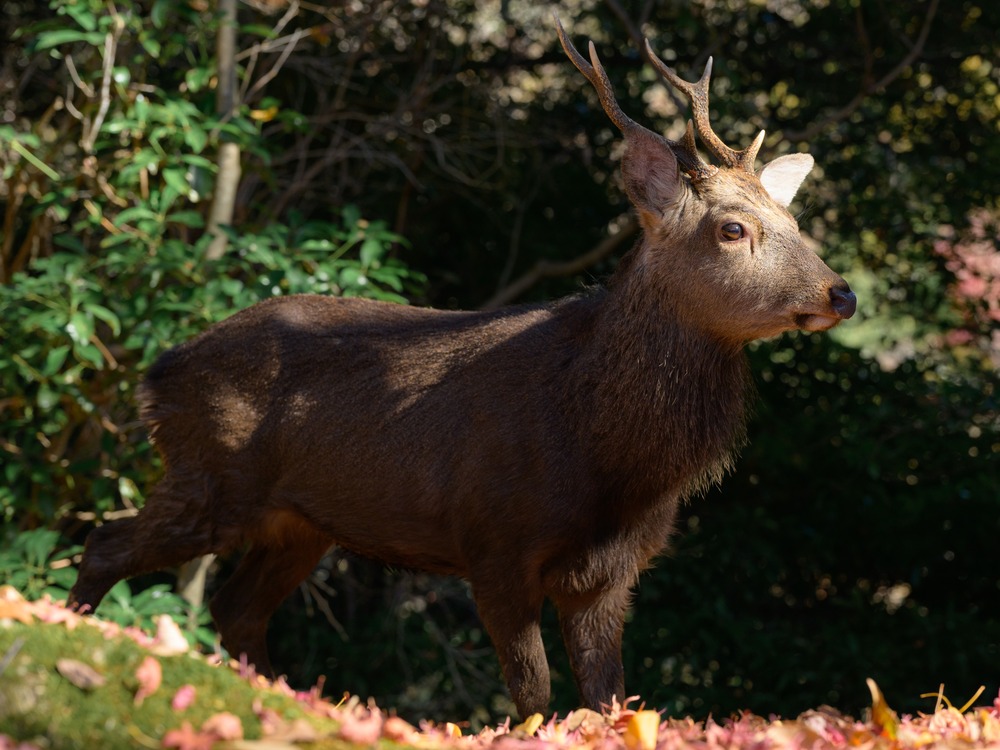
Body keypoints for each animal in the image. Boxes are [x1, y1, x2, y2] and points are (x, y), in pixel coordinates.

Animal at [68, 20, 857, 720]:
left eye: (795, 224)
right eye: (733, 228)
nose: (840, 293)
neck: (609, 457)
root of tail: (156, 374)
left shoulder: (612, 574)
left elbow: (610, 700)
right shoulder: (494, 539)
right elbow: (533, 696)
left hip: (299, 522)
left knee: (235, 609)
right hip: (212, 471)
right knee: (106, 543)